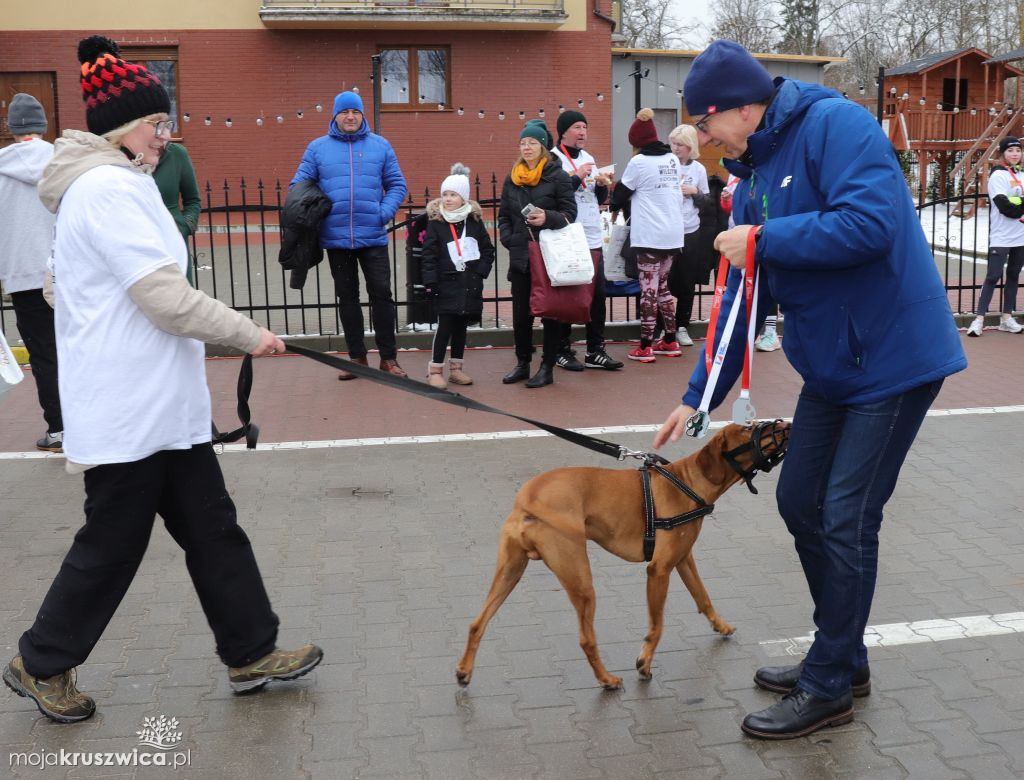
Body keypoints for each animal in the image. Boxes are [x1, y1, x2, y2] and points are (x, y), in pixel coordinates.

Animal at [458, 419, 790, 687]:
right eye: (747, 427)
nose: (786, 424)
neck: (688, 482)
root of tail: (528, 499)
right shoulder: (658, 570)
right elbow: (657, 626)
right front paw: (644, 663)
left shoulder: (683, 559)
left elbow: (703, 597)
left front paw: (720, 625)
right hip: (581, 582)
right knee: (586, 640)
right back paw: (606, 679)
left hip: (510, 572)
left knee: (477, 623)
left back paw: (464, 671)